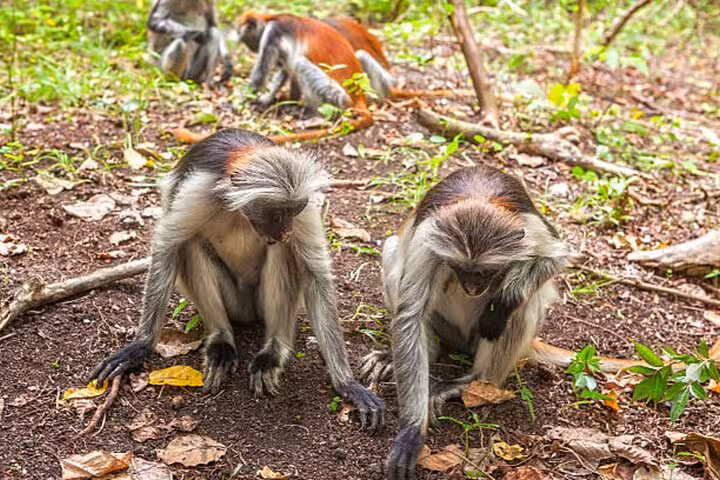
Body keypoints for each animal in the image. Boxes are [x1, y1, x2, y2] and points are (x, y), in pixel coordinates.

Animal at [89, 129, 384, 429]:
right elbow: (166, 249)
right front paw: (141, 345)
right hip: (235, 303)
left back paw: (272, 352)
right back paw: (221, 341)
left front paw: (347, 384)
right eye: (276, 214)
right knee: (190, 243)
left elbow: (315, 274)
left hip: (257, 303)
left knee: (282, 253)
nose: (286, 232)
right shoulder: (198, 190)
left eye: (293, 211)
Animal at [361, 165, 570, 479]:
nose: (472, 288)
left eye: (485, 272)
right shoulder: (430, 238)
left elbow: (556, 259)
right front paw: (411, 432)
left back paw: (473, 381)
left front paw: (504, 300)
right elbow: (410, 315)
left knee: (523, 306)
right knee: (393, 250)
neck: (478, 197)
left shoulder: (530, 228)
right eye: (460, 268)